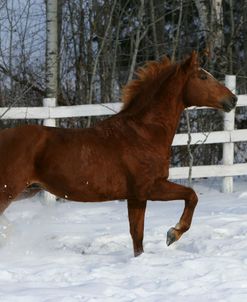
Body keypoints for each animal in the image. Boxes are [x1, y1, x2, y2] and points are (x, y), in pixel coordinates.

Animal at [0, 52, 237, 255]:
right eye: (203, 76)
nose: (233, 99)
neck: (143, 133)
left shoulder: (136, 197)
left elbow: (137, 237)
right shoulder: (149, 188)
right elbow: (191, 195)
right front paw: (173, 234)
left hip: (27, 190)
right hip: (8, 192)